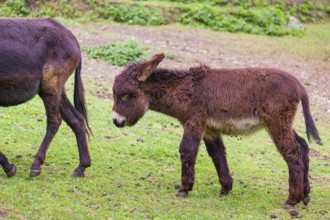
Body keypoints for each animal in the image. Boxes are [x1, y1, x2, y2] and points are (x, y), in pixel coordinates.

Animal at [0, 18, 90, 178]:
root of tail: (72, 37)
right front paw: (8, 166)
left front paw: (9, 167)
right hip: (55, 89)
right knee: (77, 120)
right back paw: (81, 167)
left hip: (51, 85)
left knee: (55, 121)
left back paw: (36, 165)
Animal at [111, 53, 320, 215]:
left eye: (125, 95)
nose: (116, 121)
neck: (182, 90)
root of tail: (299, 85)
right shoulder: (210, 130)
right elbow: (218, 156)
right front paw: (225, 189)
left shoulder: (194, 121)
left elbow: (187, 150)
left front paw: (184, 189)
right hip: (282, 123)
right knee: (302, 146)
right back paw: (306, 195)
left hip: (276, 122)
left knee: (292, 153)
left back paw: (292, 200)